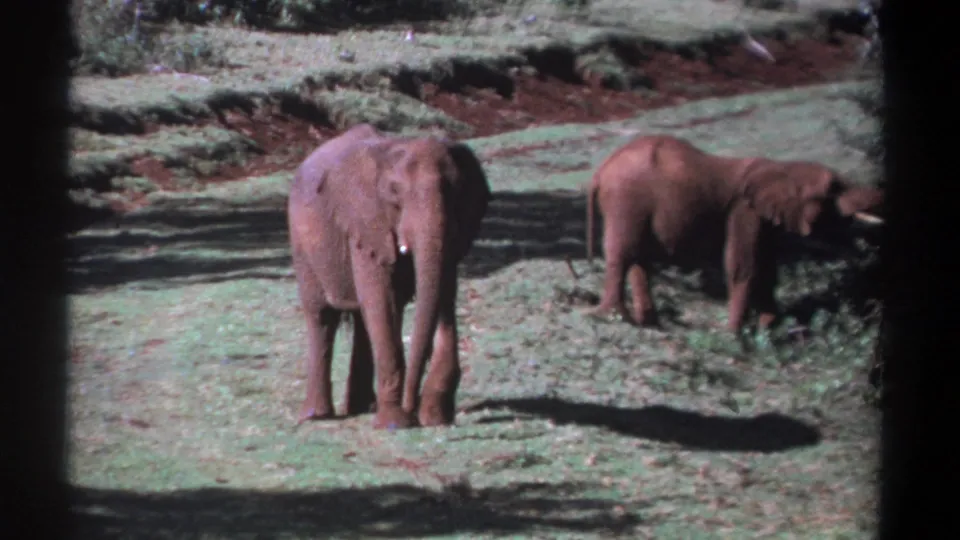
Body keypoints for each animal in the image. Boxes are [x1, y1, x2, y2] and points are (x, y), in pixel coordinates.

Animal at [287, 123, 491, 429]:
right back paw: (316, 416)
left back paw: (363, 407)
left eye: (456, 190)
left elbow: (443, 290)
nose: (412, 406)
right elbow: (381, 300)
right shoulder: (365, 223)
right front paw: (396, 423)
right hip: (302, 245)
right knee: (322, 316)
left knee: (361, 319)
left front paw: (435, 416)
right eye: (395, 192)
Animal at [584, 134, 884, 333]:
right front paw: (735, 335)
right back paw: (613, 317)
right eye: (834, 188)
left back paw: (649, 323)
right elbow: (744, 266)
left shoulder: (764, 219)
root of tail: (601, 171)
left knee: (638, 259)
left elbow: (767, 269)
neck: (781, 168)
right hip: (626, 199)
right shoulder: (744, 211)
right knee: (622, 254)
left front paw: (768, 329)